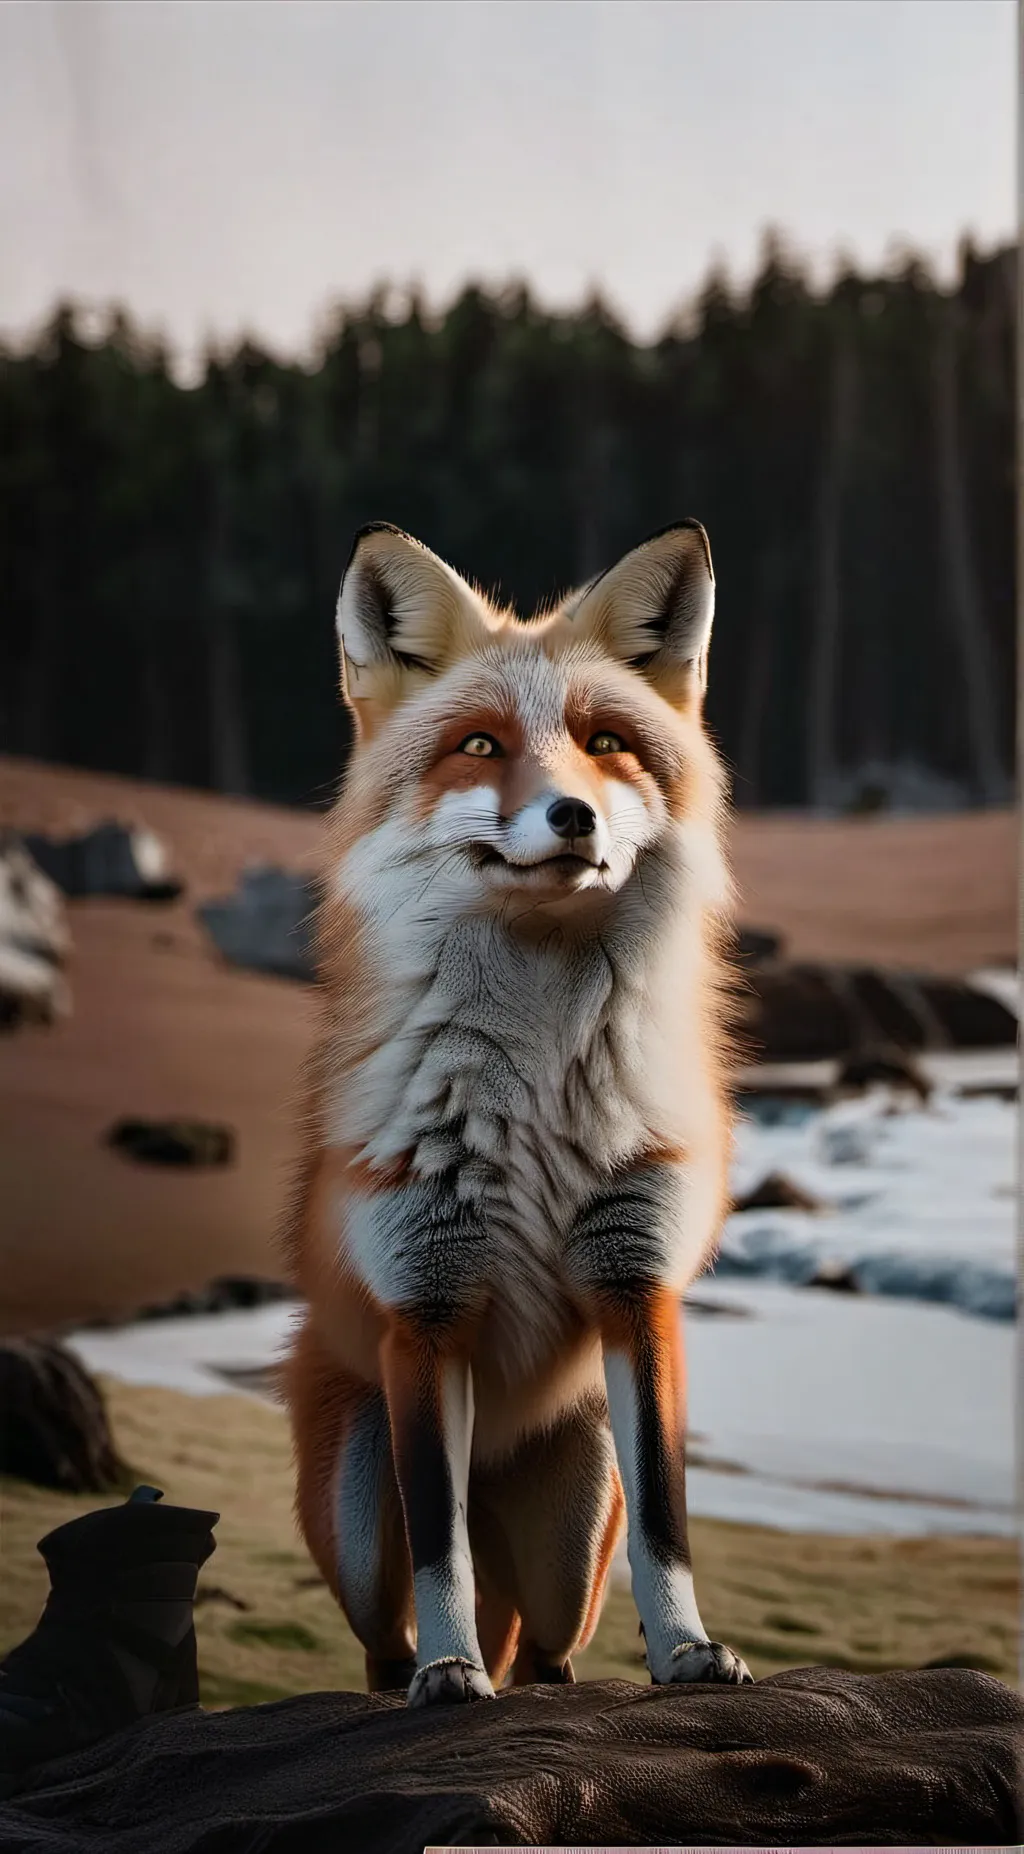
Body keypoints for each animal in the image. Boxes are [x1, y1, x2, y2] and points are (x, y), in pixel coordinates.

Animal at [280, 517, 752, 1706]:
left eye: (604, 742)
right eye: (482, 746)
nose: (569, 813)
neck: (536, 1088)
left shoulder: (636, 1283)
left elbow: (670, 1526)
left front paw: (687, 1651)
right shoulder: (427, 1307)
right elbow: (439, 1540)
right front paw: (450, 1672)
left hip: (571, 1540)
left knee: (549, 1654)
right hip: (355, 1523)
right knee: (382, 1640)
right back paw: (426, 1673)